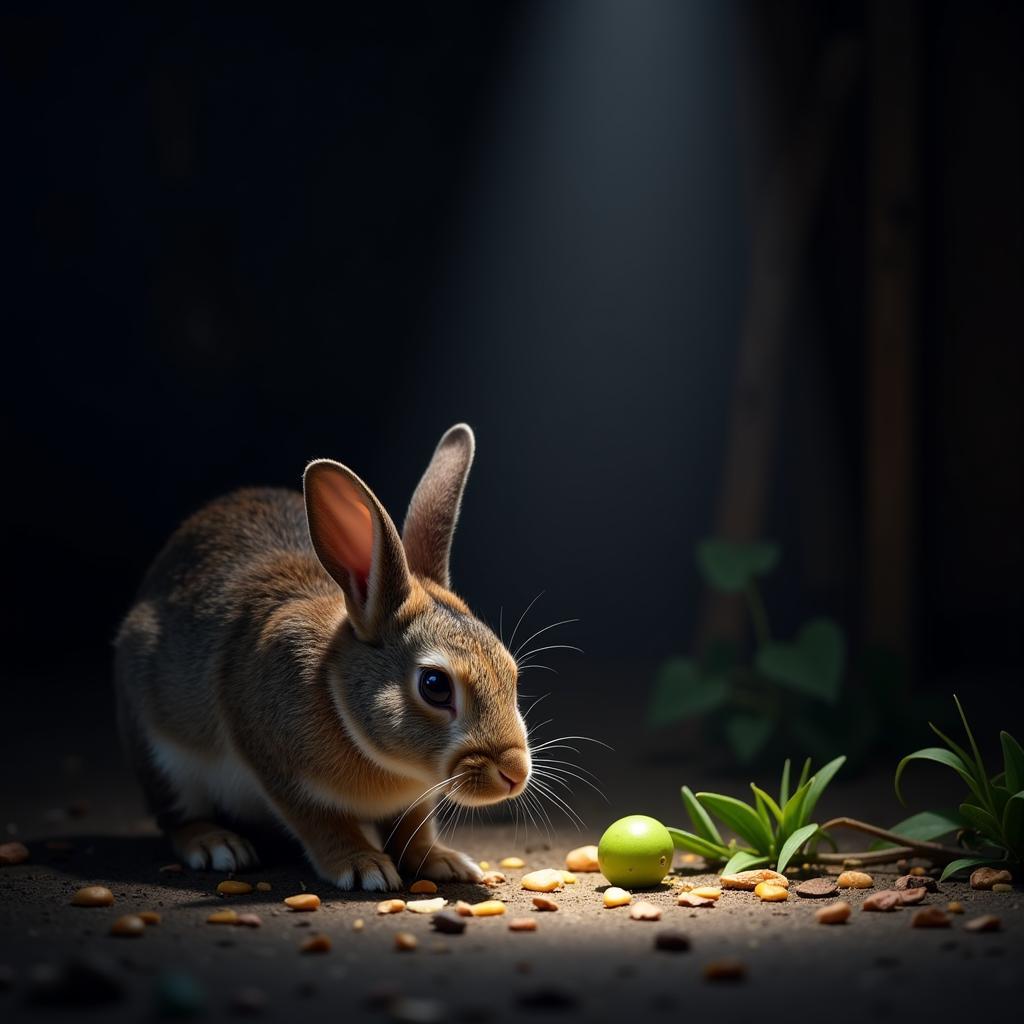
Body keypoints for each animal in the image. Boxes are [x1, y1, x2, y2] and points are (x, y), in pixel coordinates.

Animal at [114, 423, 528, 888]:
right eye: (435, 686)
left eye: (510, 672)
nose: (515, 774)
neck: (339, 699)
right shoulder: (271, 758)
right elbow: (319, 820)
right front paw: (363, 866)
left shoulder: (413, 801)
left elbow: (412, 826)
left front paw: (442, 860)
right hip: (159, 751)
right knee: (178, 816)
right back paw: (215, 844)